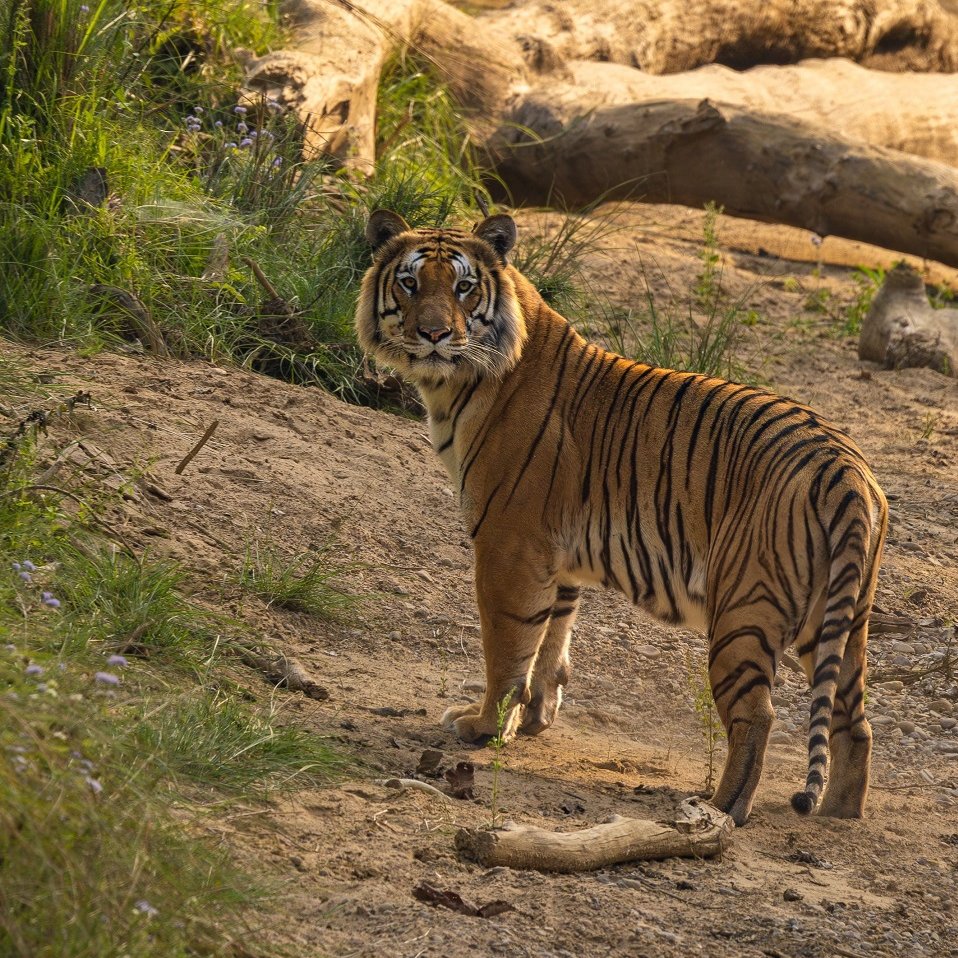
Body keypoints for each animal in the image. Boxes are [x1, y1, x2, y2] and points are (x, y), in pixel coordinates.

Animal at [355, 209, 888, 826]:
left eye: (463, 288)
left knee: (758, 715)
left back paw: (720, 809)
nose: (435, 334)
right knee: (856, 721)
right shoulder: (556, 559)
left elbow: (508, 646)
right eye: (410, 283)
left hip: (744, 609)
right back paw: (840, 812)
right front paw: (534, 719)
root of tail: (845, 468)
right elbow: (551, 642)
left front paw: (484, 727)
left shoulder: (508, 545)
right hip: (838, 621)